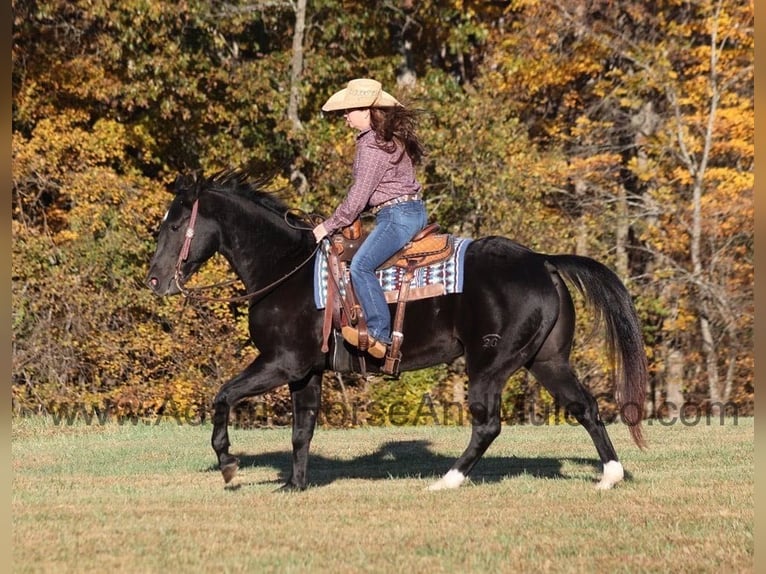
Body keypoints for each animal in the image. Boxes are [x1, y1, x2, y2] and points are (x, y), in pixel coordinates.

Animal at [146, 169, 648, 492]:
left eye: (175, 224)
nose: (154, 280)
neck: (288, 269)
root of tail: (543, 261)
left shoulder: (280, 363)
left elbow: (223, 397)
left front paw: (229, 464)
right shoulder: (305, 372)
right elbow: (301, 430)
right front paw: (295, 485)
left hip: (491, 364)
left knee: (487, 424)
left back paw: (446, 481)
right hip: (547, 361)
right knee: (585, 408)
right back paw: (610, 476)